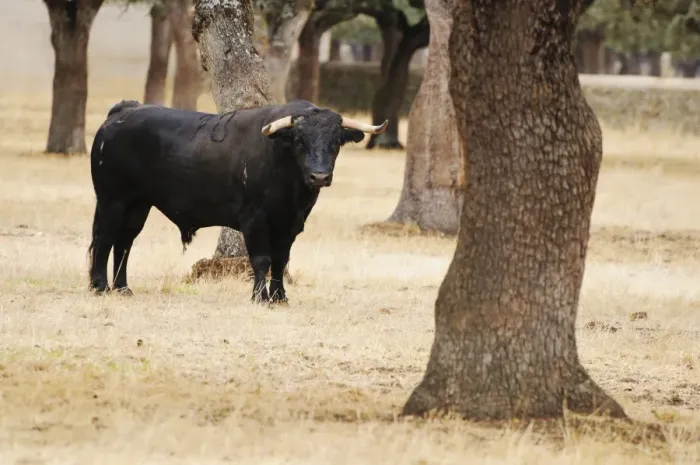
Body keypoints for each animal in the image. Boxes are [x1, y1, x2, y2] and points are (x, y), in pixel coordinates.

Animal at [87, 99, 387, 304]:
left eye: (336, 142)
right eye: (300, 141)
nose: (320, 176)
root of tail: (124, 111)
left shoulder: (290, 224)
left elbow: (281, 260)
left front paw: (280, 297)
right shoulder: (254, 220)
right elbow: (262, 259)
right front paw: (260, 297)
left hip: (138, 205)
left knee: (124, 242)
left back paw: (123, 288)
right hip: (112, 200)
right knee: (105, 239)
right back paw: (99, 286)